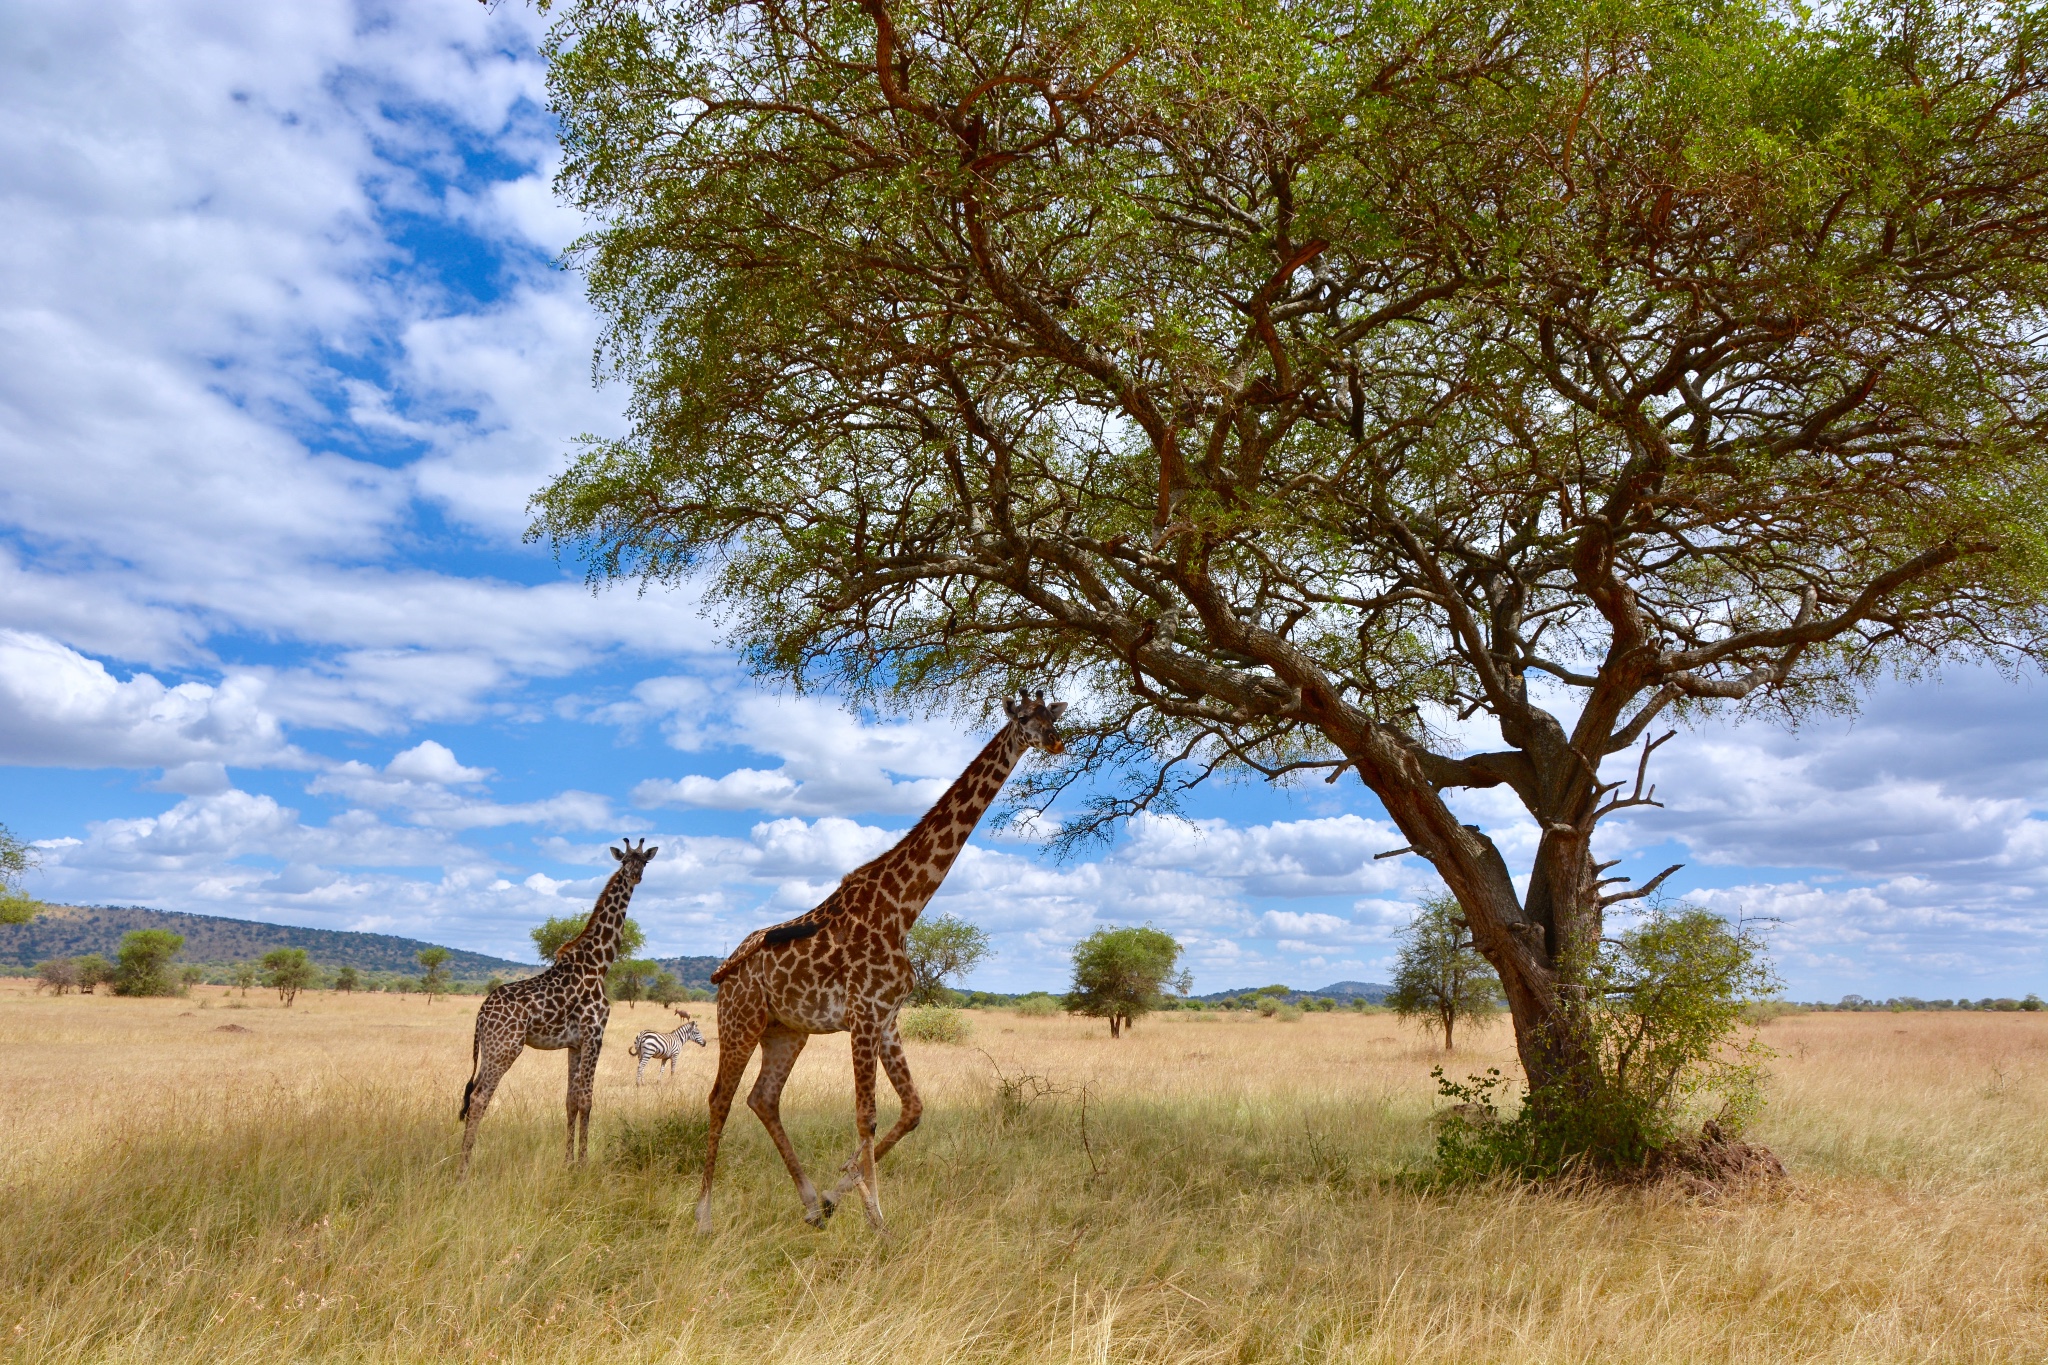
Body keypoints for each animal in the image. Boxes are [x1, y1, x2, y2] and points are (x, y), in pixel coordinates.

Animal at [460, 839, 659, 1178]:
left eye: (644, 861)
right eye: (624, 862)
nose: (634, 876)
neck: (599, 965)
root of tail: (481, 1014)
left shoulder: (575, 1044)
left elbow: (570, 1100)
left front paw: (568, 1162)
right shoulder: (594, 1035)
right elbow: (587, 1099)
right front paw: (584, 1164)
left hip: (490, 1048)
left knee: (472, 1092)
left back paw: (458, 1158)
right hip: (506, 1047)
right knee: (479, 1096)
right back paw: (463, 1170)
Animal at [696, 695, 1064, 1236]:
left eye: (1053, 716)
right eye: (1023, 720)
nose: (1057, 742)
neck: (903, 907)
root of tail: (723, 972)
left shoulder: (888, 1018)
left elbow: (912, 1110)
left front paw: (838, 1193)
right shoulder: (865, 1015)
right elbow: (865, 1114)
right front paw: (877, 1219)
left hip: (786, 1031)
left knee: (762, 1098)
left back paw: (810, 1205)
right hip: (740, 1020)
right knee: (720, 1099)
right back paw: (703, 1216)